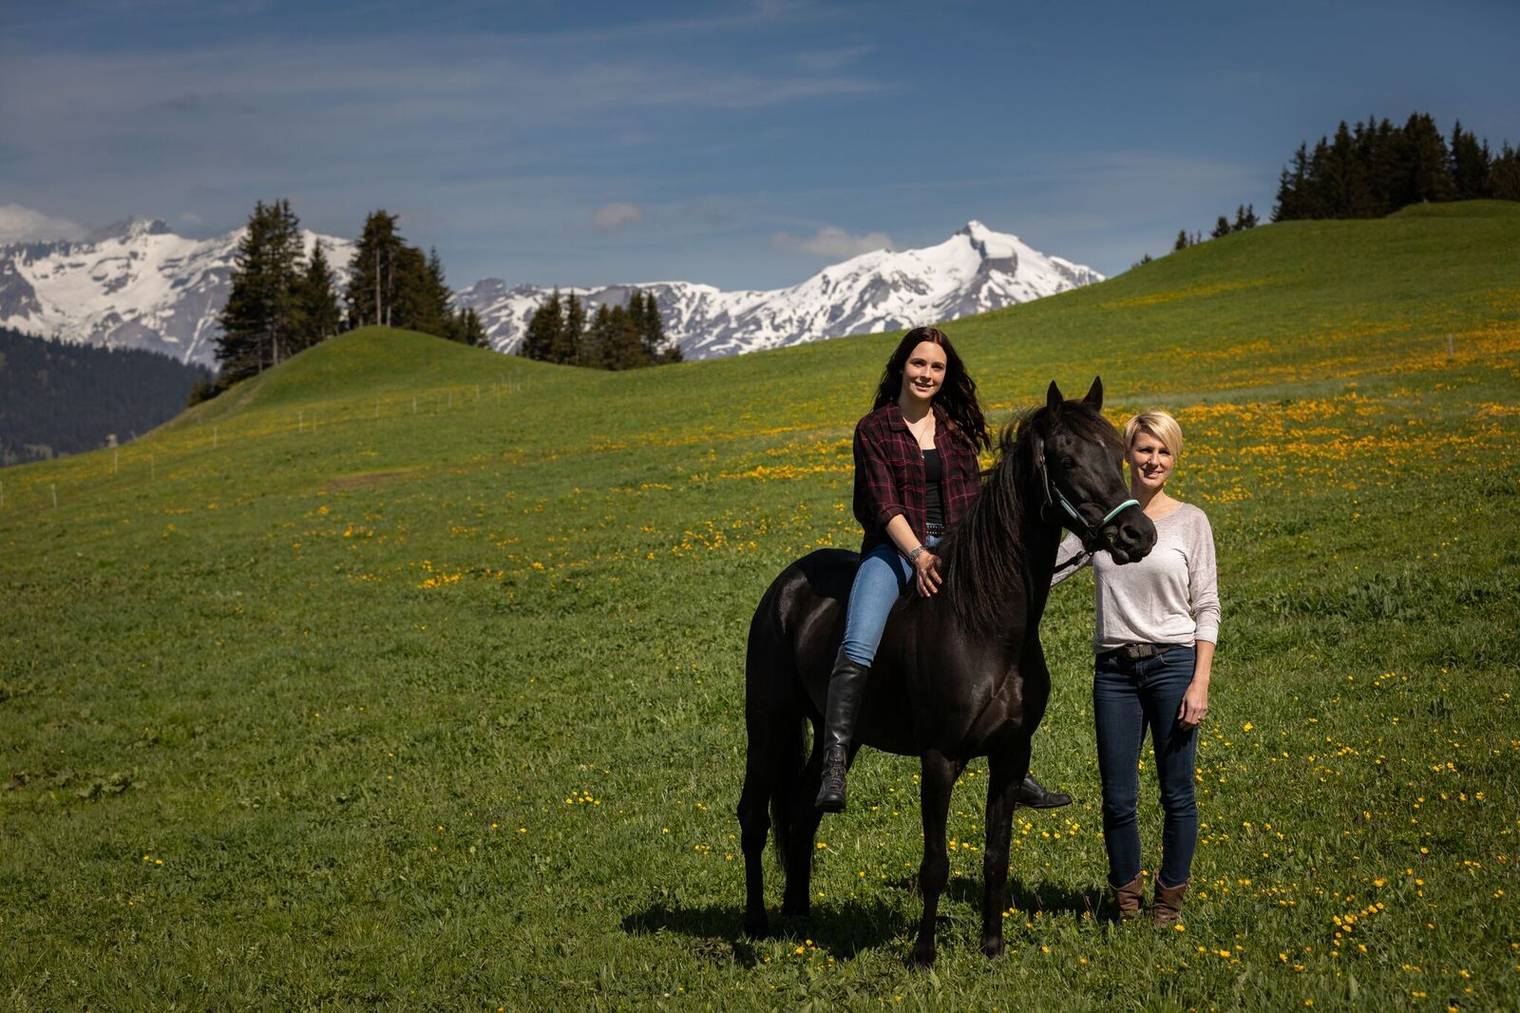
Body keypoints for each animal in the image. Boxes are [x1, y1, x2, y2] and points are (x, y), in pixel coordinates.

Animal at [735, 378, 1149, 961]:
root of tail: (785, 586)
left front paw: (992, 947)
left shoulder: (1010, 756)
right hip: (769, 722)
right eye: (1067, 461)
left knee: (805, 805)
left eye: (1118, 454)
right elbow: (935, 863)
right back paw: (754, 925)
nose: (1138, 535)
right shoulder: (939, 759)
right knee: (753, 815)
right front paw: (924, 955)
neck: (982, 624)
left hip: (840, 733)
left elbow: (996, 856)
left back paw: (798, 909)